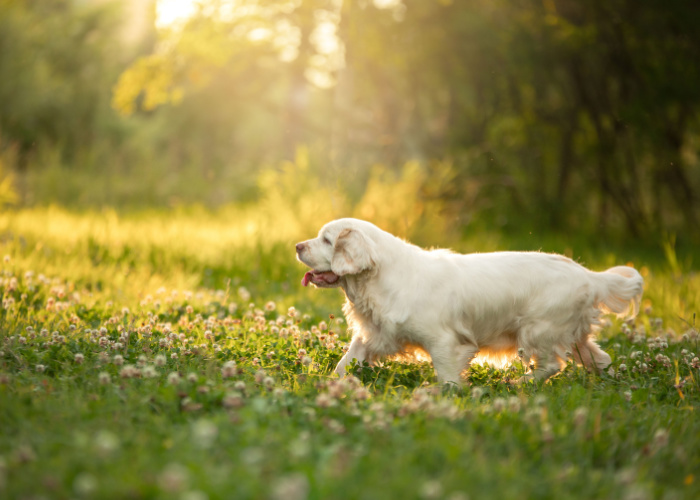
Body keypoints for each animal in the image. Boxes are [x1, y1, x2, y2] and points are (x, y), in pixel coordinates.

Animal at [292, 217, 644, 384]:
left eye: (326, 240)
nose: (297, 245)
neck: (380, 278)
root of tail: (590, 276)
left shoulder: (446, 343)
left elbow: (447, 376)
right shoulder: (377, 335)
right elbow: (346, 362)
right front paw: (330, 384)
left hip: (538, 332)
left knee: (551, 366)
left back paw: (519, 383)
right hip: (575, 336)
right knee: (600, 359)